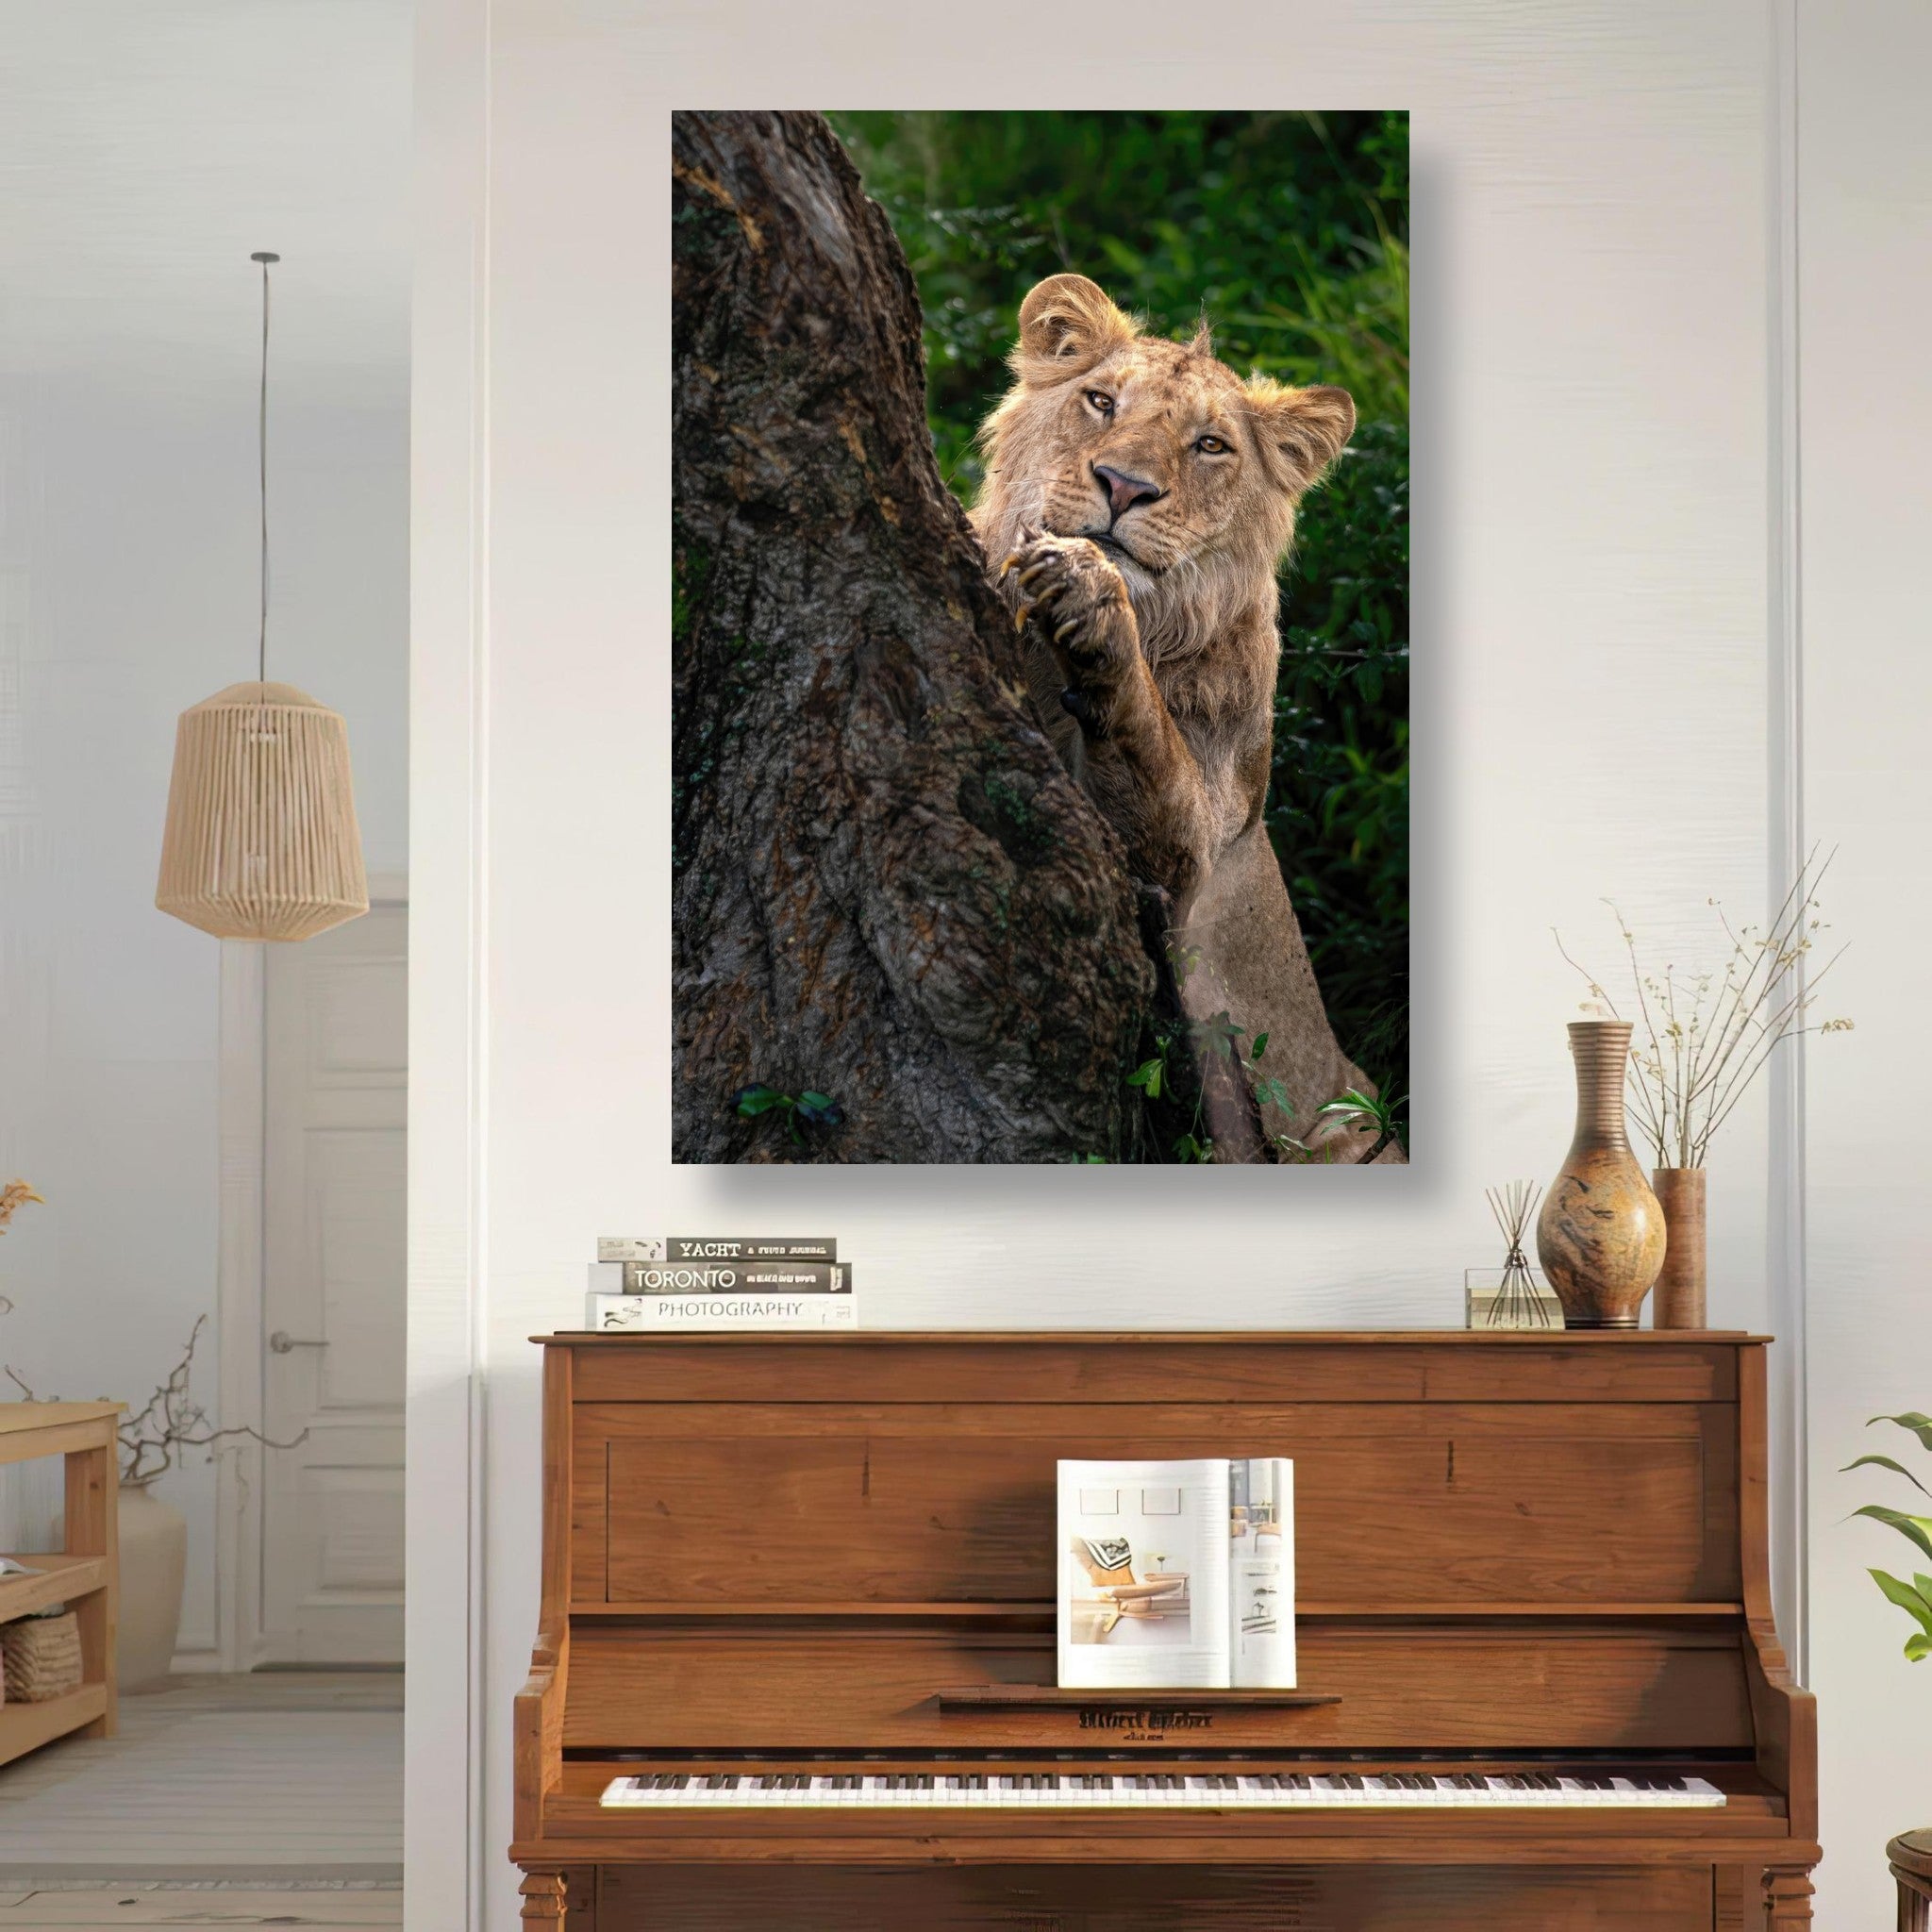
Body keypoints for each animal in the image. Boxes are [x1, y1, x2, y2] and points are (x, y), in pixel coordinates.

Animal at [970, 273, 1398, 1163]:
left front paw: (1089, 592)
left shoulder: (1192, 863)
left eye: (1210, 446)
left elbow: (1150, 746)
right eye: (1100, 401)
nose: (1125, 486)